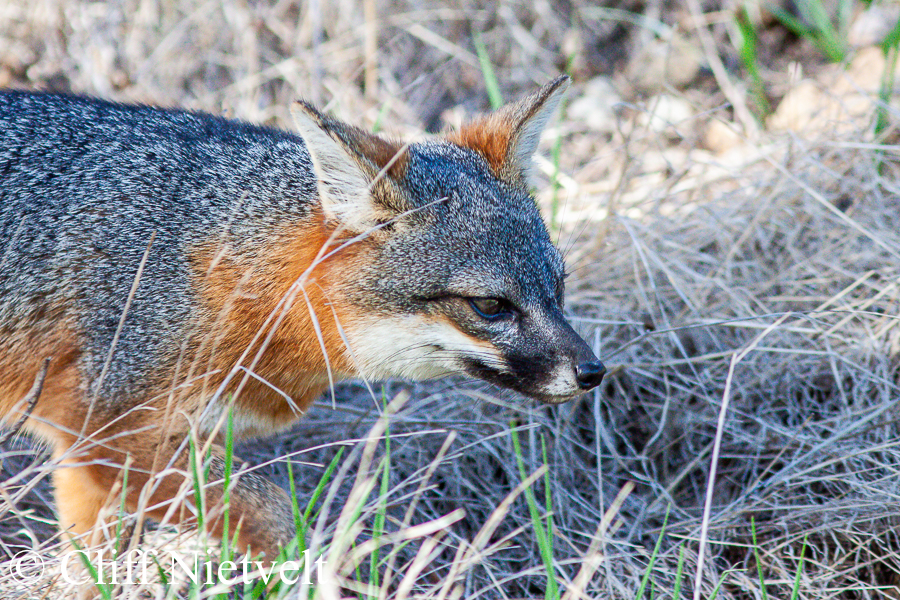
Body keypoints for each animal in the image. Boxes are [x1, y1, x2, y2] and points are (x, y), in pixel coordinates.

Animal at [0, 75, 606, 561]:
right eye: (490, 306)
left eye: (558, 288)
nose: (594, 372)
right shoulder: (102, 428)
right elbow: (274, 513)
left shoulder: (93, 457)